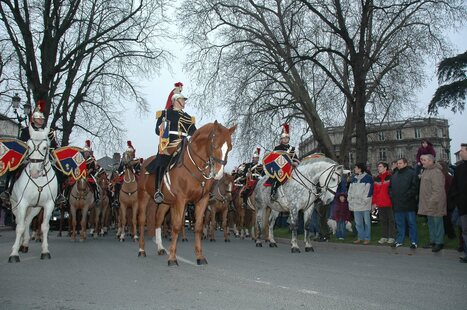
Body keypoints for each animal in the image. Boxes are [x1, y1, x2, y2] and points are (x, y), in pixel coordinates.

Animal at [8, 127, 58, 262]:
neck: (39, 179)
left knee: (27, 221)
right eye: (29, 146)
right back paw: (20, 245)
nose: (34, 172)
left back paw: (24, 244)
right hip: (15, 205)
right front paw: (14, 254)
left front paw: (45, 251)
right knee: (20, 222)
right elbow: (19, 227)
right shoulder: (22, 204)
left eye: (45, 147)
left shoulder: (48, 205)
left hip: (35, 208)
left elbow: (44, 226)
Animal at [137, 122, 236, 266]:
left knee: (158, 220)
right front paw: (172, 258)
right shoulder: (181, 200)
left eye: (229, 147)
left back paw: (160, 248)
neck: (195, 166)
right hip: (143, 196)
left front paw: (200, 256)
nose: (218, 173)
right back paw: (141, 250)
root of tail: (145, 162)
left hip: (165, 203)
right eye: (214, 145)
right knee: (142, 220)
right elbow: (176, 226)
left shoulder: (202, 201)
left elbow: (199, 227)